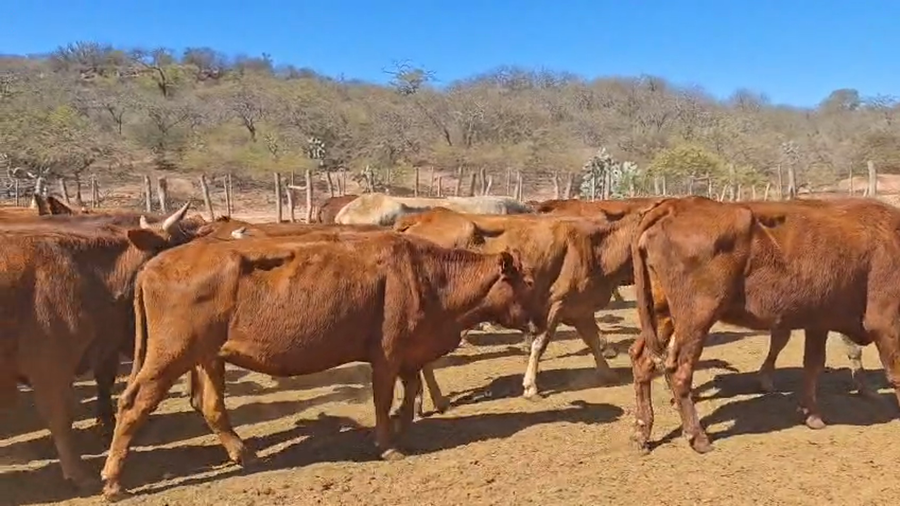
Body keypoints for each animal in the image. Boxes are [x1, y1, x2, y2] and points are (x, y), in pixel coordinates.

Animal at [98, 231, 541, 500]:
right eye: (530, 283)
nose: (538, 321)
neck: (427, 275)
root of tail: (154, 265)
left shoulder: (409, 354)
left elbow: (410, 391)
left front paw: (405, 432)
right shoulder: (386, 355)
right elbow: (383, 400)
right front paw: (388, 446)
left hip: (208, 357)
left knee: (209, 405)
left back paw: (245, 454)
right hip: (169, 356)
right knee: (133, 405)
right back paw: (113, 482)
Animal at [393, 206, 643, 408]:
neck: (595, 247)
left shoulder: (580, 308)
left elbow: (592, 339)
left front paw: (607, 371)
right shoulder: (556, 304)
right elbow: (540, 344)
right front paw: (531, 386)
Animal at [629, 196, 900, 454]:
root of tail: (675, 205)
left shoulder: (817, 322)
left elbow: (813, 365)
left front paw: (812, 415)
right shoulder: (884, 322)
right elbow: (894, 372)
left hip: (662, 314)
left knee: (643, 360)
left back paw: (642, 433)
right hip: (696, 318)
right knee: (679, 370)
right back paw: (698, 438)